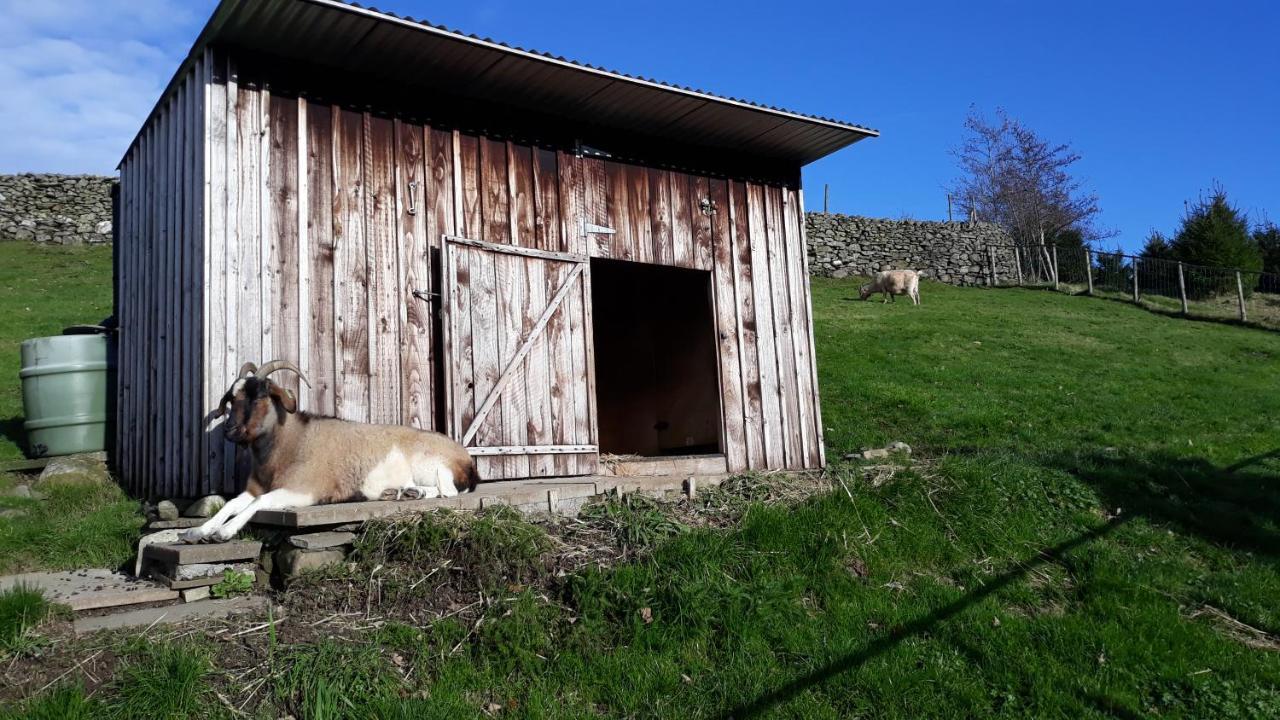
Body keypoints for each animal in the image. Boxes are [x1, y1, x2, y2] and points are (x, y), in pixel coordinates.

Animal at [183, 361, 478, 540]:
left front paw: (225, 532)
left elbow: (260, 502)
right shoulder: (255, 487)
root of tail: (467, 461)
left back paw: (413, 493)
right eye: (231, 398)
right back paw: (402, 492)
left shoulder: (303, 490)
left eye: (260, 396)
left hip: (431, 466)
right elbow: (232, 502)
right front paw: (198, 532)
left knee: (448, 491)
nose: (229, 430)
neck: (292, 442)